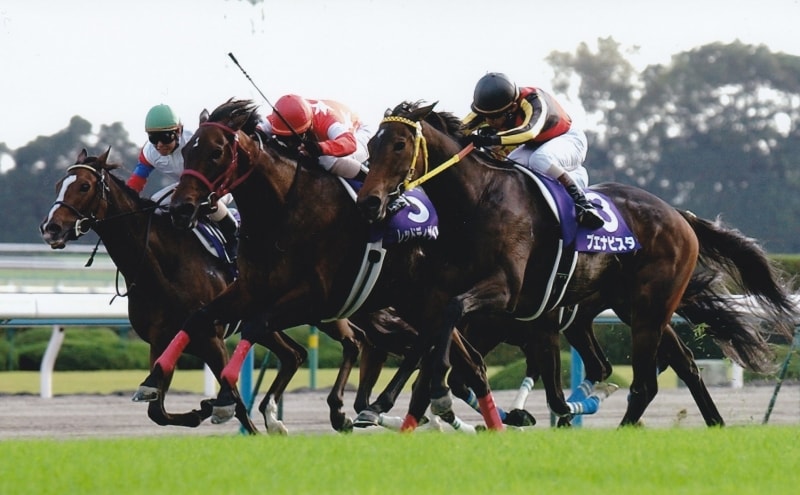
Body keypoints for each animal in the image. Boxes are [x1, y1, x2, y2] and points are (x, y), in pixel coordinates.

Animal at [39, 148, 364, 434]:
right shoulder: (161, 341)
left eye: (84, 185)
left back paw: (340, 413)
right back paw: (275, 418)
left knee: (353, 341)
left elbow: (235, 402)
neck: (161, 266)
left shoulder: (211, 338)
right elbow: (156, 410)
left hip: (322, 309)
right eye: (57, 185)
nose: (51, 228)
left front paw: (230, 419)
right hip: (269, 319)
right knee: (294, 354)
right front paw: (199, 411)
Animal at [356, 100, 799, 428]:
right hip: (632, 309)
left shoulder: (504, 295)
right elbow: (431, 340)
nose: (370, 202)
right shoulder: (479, 306)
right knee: (682, 366)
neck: (477, 200)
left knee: (644, 383)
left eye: (399, 145)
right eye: (371, 147)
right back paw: (712, 423)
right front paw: (390, 405)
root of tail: (678, 214)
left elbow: (448, 325)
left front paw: (435, 395)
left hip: (648, 309)